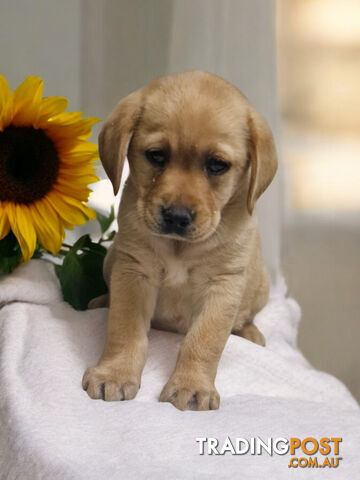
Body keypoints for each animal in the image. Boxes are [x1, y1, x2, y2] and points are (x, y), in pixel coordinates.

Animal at [83, 69, 278, 410]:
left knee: (246, 318)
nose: (176, 216)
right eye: (156, 156)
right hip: (112, 259)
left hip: (260, 287)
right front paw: (115, 373)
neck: (180, 247)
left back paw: (251, 333)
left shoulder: (222, 285)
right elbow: (124, 329)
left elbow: (204, 341)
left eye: (217, 165)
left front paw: (191, 386)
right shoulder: (134, 270)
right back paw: (103, 300)